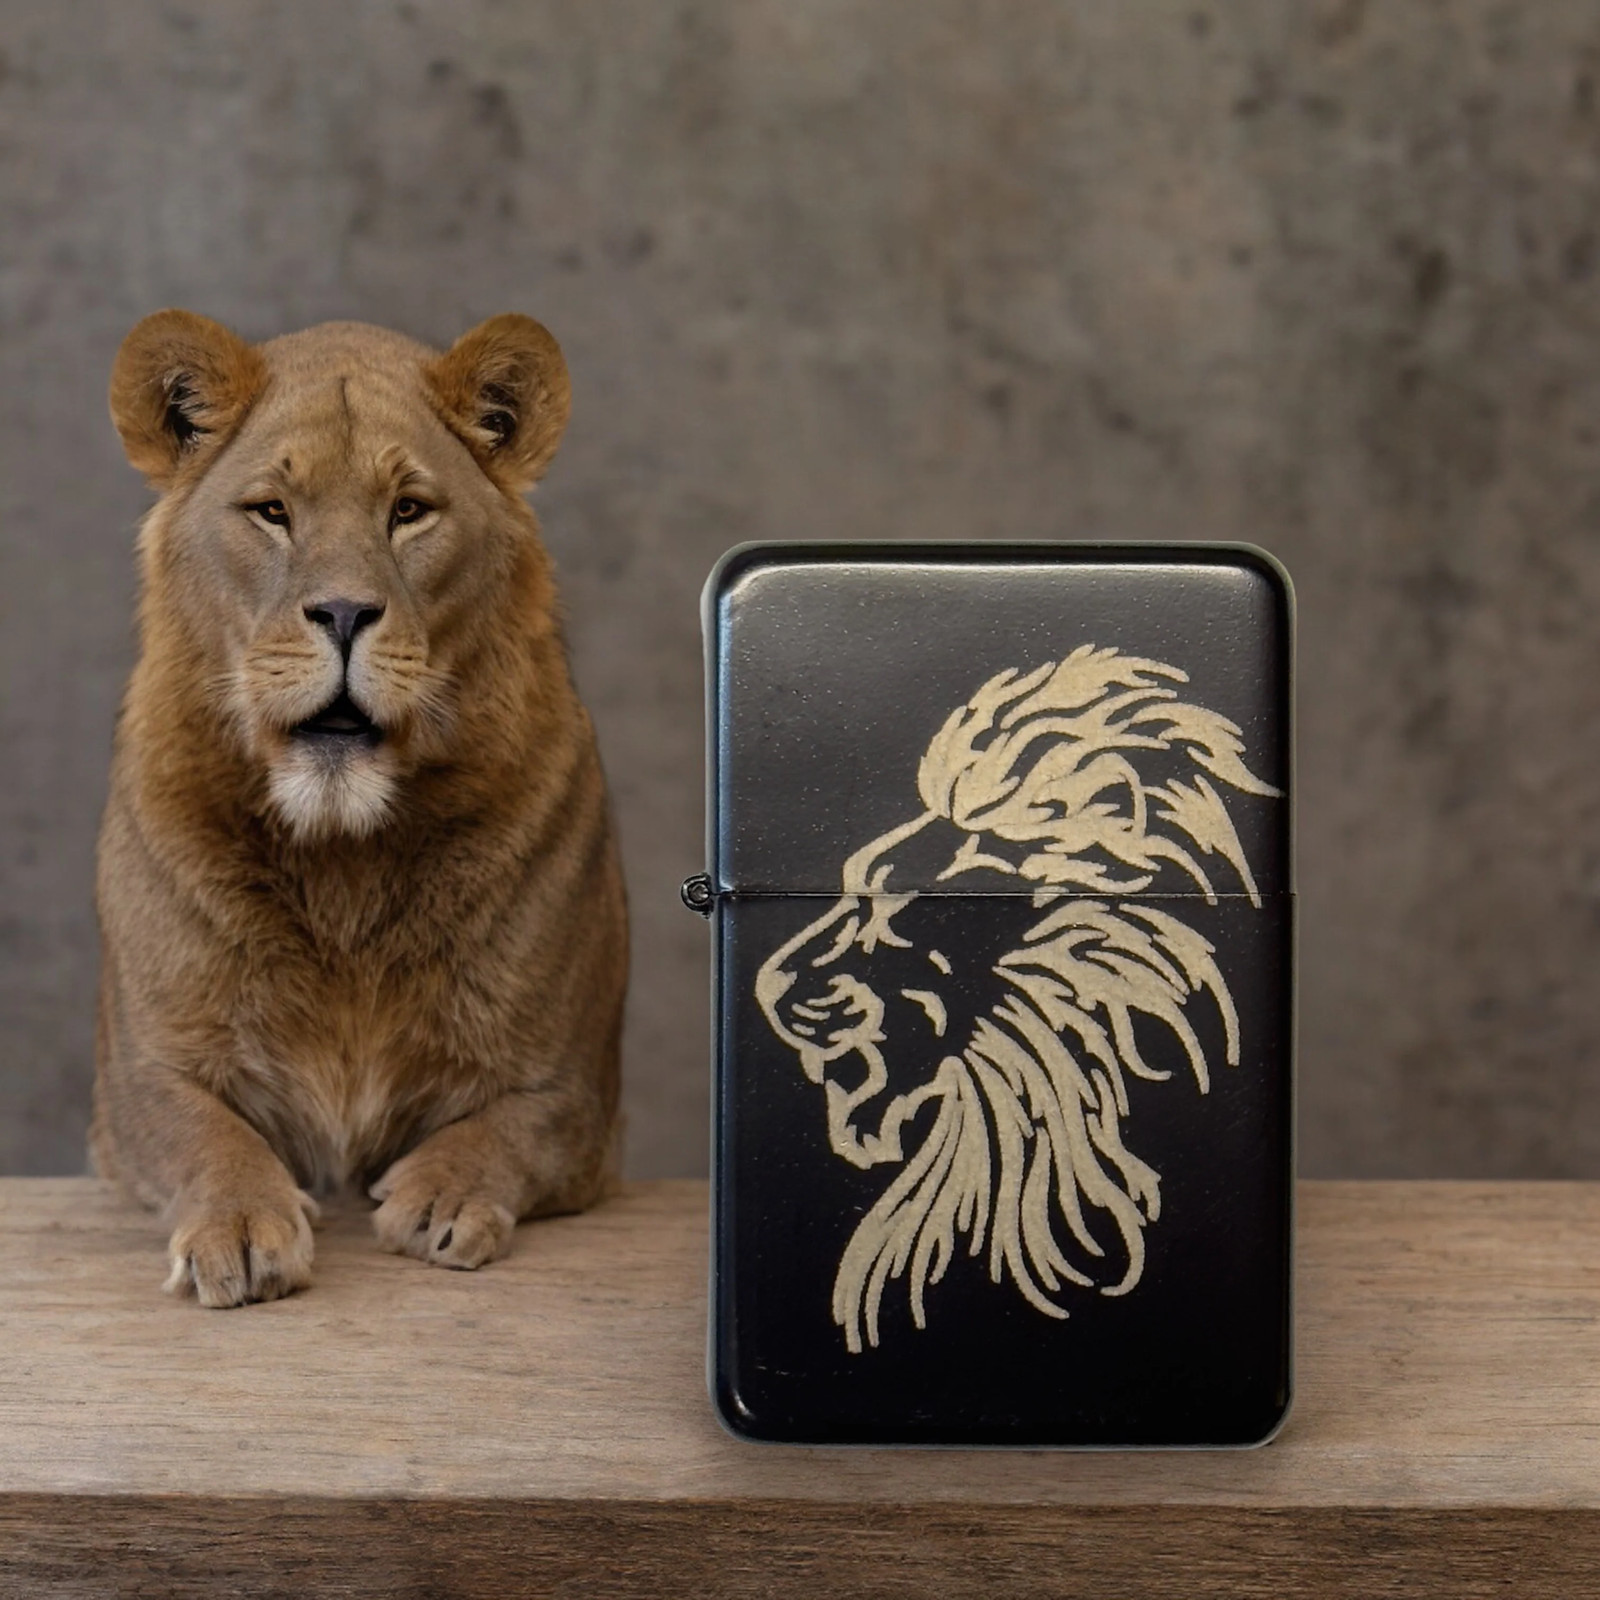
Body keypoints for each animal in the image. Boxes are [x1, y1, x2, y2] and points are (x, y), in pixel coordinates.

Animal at [90, 309, 627, 1308]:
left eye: (408, 510)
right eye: (272, 511)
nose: (342, 613)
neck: (341, 852)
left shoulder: (576, 1091)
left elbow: (510, 1126)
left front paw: (440, 1197)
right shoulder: (133, 1077)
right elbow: (203, 1132)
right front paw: (241, 1225)